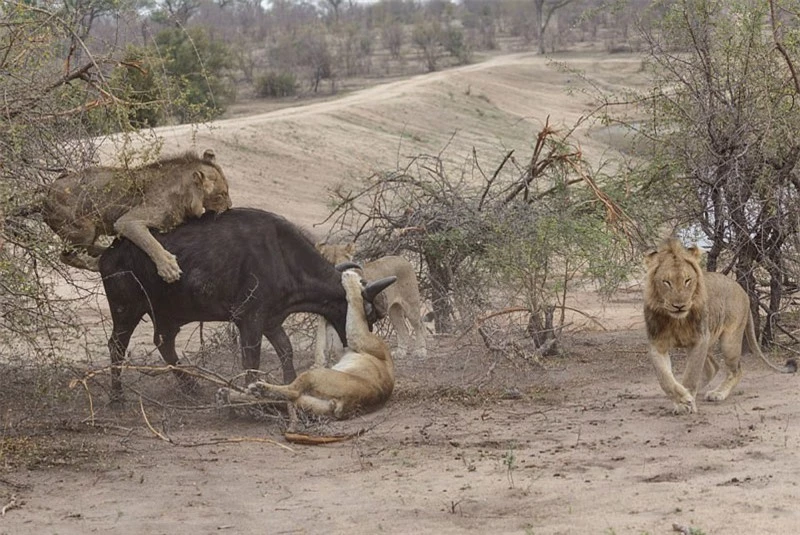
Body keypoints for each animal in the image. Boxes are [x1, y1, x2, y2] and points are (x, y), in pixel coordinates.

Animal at [39, 149, 231, 282]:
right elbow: (149, 242)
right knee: (66, 256)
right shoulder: (128, 221)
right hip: (83, 229)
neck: (183, 190)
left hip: (91, 231)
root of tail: (46, 192)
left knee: (86, 248)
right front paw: (168, 268)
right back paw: (96, 261)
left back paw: (104, 251)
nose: (230, 207)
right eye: (221, 195)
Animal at [648, 238, 796, 414]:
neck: (675, 320)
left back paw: (717, 393)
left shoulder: (699, 340)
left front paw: (687, 401)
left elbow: (691, 374)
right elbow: (664, 378)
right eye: (666, 282)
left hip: (728, 341)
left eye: (687, 281)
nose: (679, 306)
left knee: (735, 370)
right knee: (713, 367)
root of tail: (743, 291)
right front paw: (683, 399)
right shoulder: (658, 344)